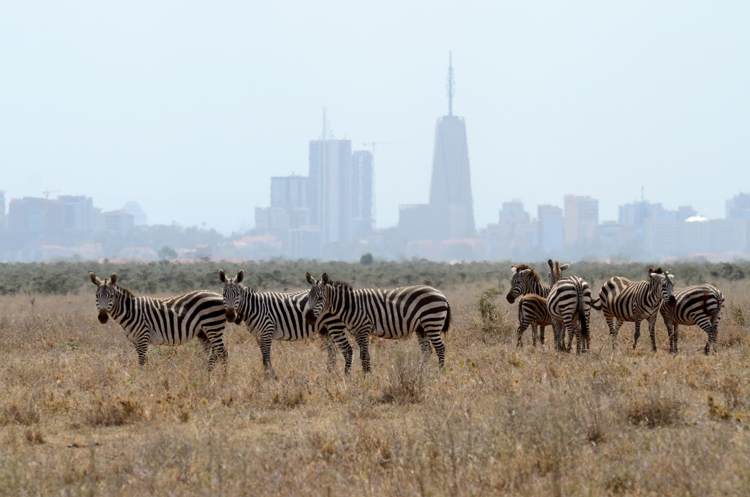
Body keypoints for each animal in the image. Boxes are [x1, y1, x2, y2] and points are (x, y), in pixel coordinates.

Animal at [90, 272, 228, 368]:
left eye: (111, 296)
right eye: (97, 295)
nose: (102, 317)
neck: (131, 311)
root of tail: (219, 295)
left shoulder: (143, 336)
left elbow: (142, 361)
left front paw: (141, 380)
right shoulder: (135, 341)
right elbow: (144, 360)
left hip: (213, 327)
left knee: (223, 353)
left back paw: (223, 379)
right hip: (204, 333)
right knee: (213, 354)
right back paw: (209, 377)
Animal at [220, 270, 356, 378]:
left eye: (237, 294)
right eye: (223, 294)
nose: (230, 316)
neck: (255, 307)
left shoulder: (267, 331)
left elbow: (266, 357)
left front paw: (271, 378)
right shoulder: (258, 335)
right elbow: (264, 356)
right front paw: (268, 376)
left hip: (334, 325)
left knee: (347, 349)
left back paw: (346, 376)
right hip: (324, 329)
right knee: (333, 351)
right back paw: (328, 374)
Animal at [302, 272, 452, 372]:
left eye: (320, 298)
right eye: (308, 297)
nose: (308, 318)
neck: (351, 305)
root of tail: (441, 294)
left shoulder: (364, 329)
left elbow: (364, 355)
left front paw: (366, 376)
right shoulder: (357, 333)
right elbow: (363, 355)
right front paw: (367, 373)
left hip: (432, 322)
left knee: (440, 348)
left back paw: (440, 373)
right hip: (421, 327)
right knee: (427, 351)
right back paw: (422, 373)